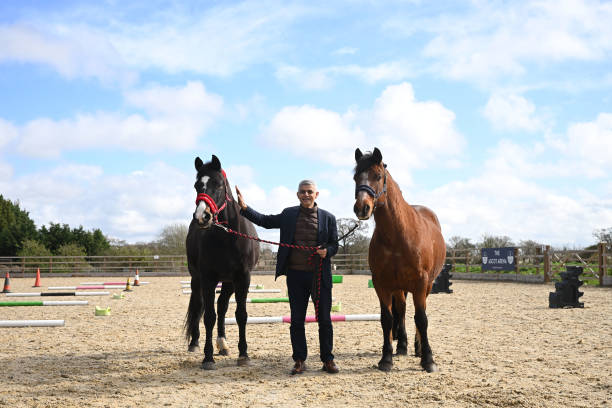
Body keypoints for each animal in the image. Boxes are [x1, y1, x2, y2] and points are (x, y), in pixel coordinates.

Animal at [182, 154, 258, 370]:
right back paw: (195, 343)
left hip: (229, 282)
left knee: (223, 306)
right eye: (197, 185)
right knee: (199, 305)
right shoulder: (208, 278)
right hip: (197, 279)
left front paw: (243, 354)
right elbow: (208, 316)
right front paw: (208, 357)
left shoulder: (242, 278)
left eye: (218, 184)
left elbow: (240, 314)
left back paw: (223, 344)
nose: (202, 216)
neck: (227, 237)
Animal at [354, 147, 444, 372]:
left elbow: (421, 318)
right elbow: (387, 319)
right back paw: (402, 345)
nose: (362, 208)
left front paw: (428, 360)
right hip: (399, 286)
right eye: (355, 177)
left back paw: (418, 348)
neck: (398, 235)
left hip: (427, 285)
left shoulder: (421, 282)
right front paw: (386, 358)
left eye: (378, 176)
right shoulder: (382, 283)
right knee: (401, 311)